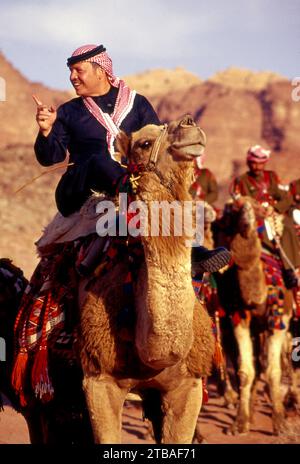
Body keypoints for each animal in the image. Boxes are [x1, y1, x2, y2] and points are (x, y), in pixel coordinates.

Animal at [213, 198, 296, 436]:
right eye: (234, 209)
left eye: (258, 209)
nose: (247, 218)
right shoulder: (239, 317)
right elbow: (245, 371)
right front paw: (239, 423)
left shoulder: (280, 319)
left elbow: (274, 371)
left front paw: (280, 424)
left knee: (283, 359)